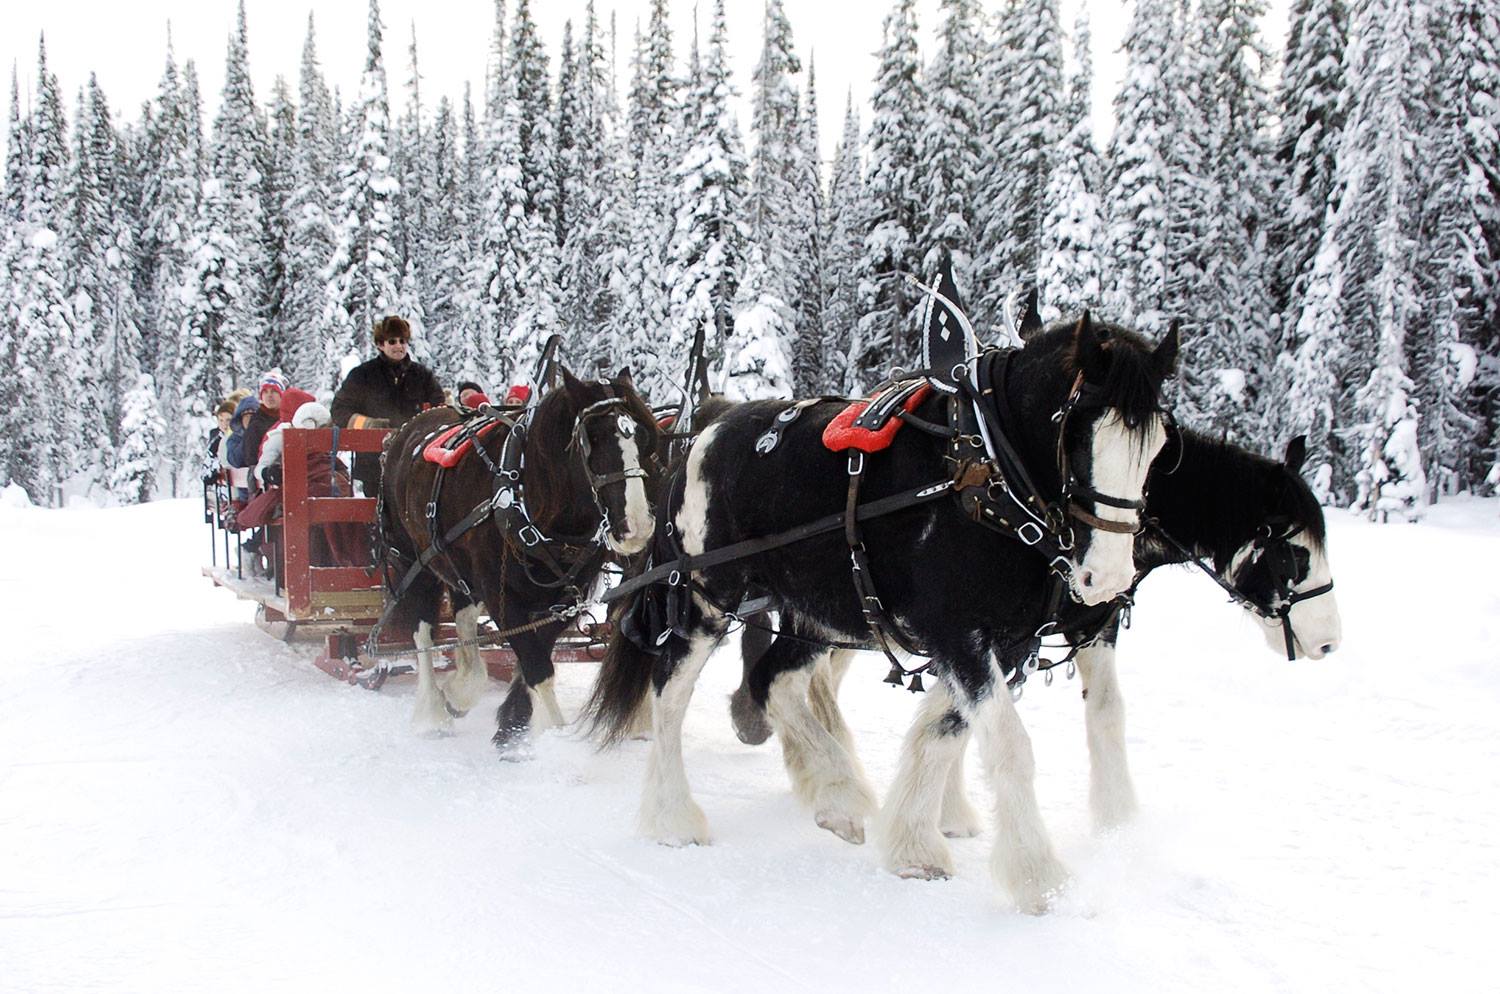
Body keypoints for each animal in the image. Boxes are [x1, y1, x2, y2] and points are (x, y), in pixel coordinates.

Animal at [378, 373, 660, 755]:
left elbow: (533, 656)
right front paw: (555, 737)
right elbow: (537, 665)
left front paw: (513, 722)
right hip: (416, 562)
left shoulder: (562, 600)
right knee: (422, 632)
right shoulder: (502, 596)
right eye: (593, 438)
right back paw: (434, 712)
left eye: (644, 438)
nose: (637, 526)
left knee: (464, 618)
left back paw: (460, 688)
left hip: (458, 567)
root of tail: (407, 427)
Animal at [591, 314, 1176, 911]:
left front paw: (915, 845)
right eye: (1076, 434)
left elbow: (945, 731)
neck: (984, 472)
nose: (1108, 579)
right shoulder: (960, 634)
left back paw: (839, 795)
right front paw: (1040, 878)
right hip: (707, 598)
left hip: (814, 610)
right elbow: (1008, 744)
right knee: (670, 692)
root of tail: (707, 429)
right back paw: (673, 817)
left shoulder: (1006, 642)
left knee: (773, 679)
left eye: (1158, 446)